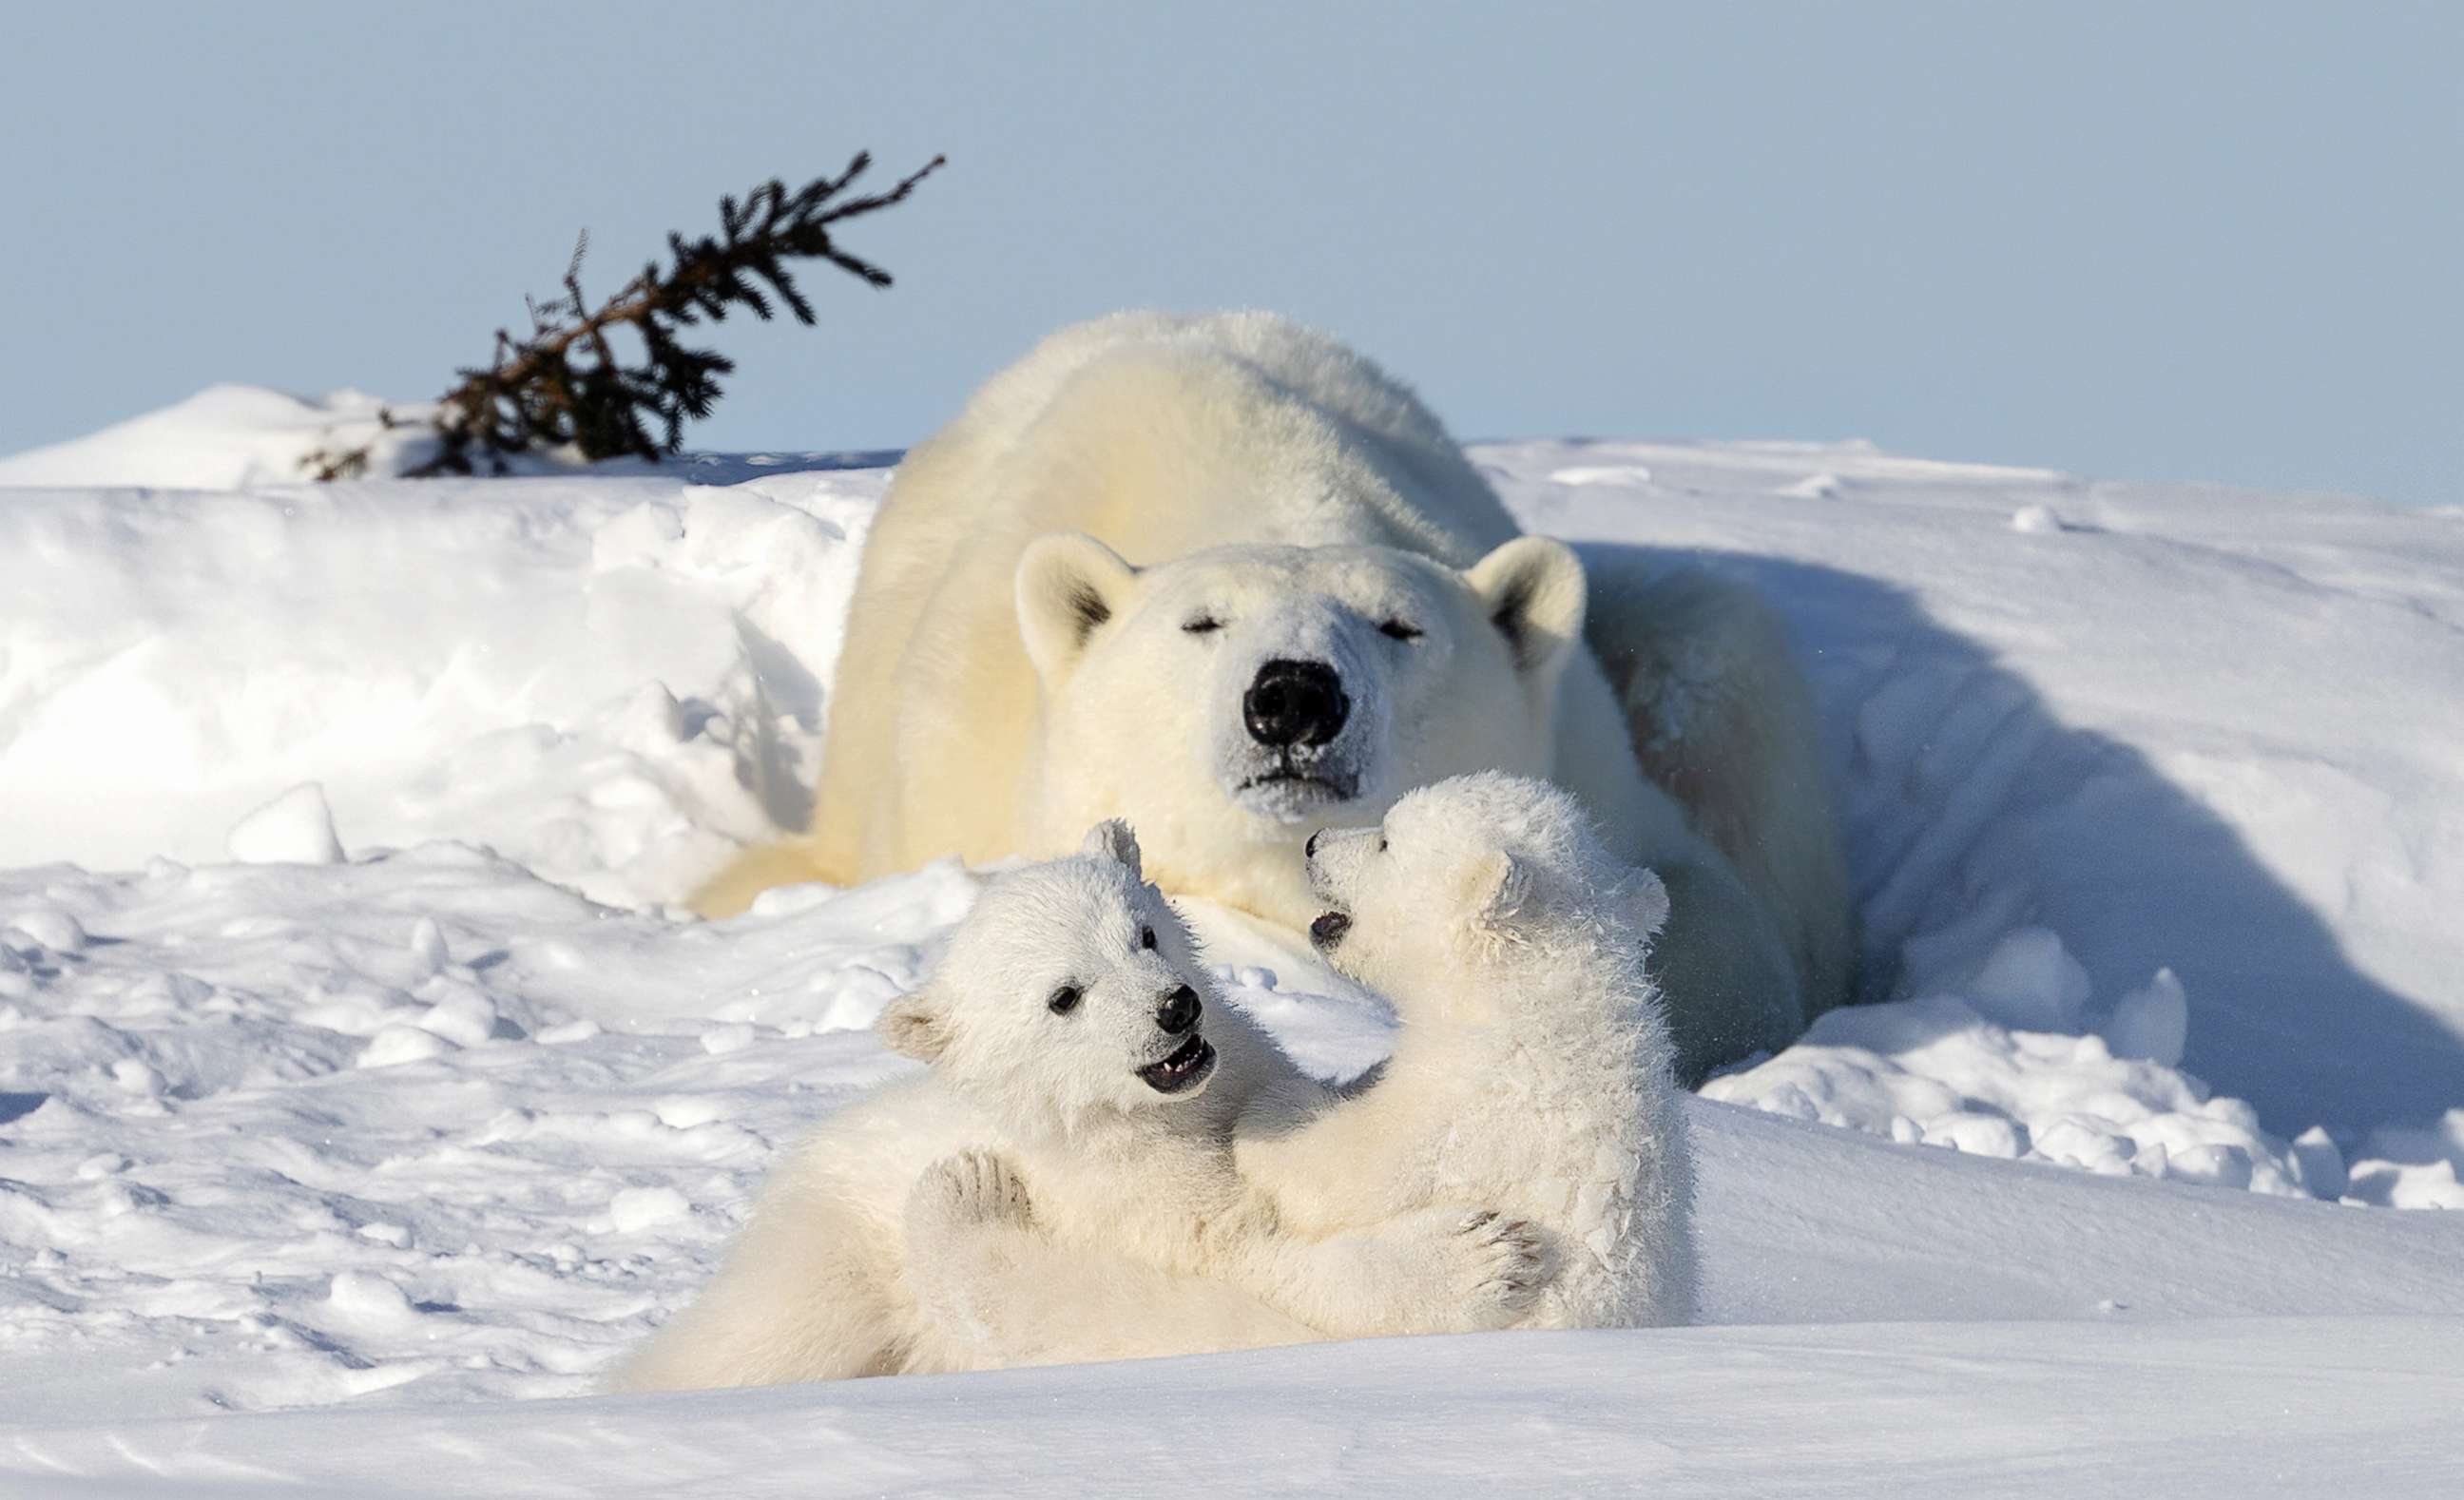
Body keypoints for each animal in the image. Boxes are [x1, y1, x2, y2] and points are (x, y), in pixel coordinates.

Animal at [694, 310, 1853, 1068]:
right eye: (1200, 623)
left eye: (1400, 625)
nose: (1294, 697)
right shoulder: (961, 764)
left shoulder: (1586, 757)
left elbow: (1710, 917)